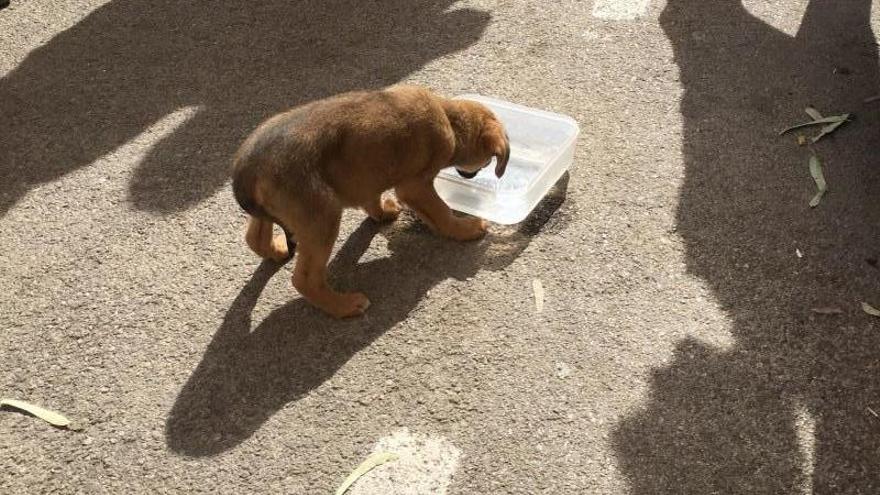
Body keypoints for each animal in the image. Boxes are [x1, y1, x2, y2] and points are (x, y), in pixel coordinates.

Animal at [230, 85, 512, 318]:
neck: (449, 118)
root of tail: (248, 170)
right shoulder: (415, 187)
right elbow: (441, 211)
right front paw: (465, 229)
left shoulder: (368, 176)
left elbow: (372, 200)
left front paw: (383, 213)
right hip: (322, 216)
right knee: (305, 279)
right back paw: (344, 306)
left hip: (276, 211)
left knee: (254, 237)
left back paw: (276, 250)